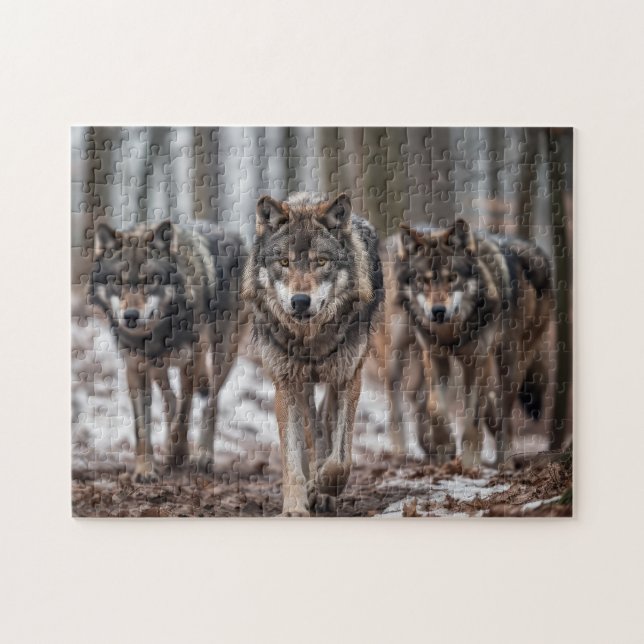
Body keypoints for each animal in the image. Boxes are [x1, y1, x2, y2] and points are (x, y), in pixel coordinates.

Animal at [91, 220, 246, 482]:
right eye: (117, 281)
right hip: (159, 368)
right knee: (169, 398)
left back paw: (203, 455)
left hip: (223, 354)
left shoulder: (190, 363)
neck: (158, 332)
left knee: (211, 402)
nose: (130, 316)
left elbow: (184, 414)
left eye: (150, 280)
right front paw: (145, 469)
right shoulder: (135, 369)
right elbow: (142, 428)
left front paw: (178, 453)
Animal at [242, 193, 384, 516]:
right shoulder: (286, 384)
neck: (311, 341)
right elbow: (293, 456)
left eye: (321, 261)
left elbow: (340, 459)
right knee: (313, 428)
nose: (300, 301)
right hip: (303, 385)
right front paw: (295, 506)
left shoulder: (348, 378)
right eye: (284, 262)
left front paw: (323, 486)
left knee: (327, 422)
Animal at [395, 220, 552, 468]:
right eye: (423, 280)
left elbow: (473, 416)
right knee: (492, 407)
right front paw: (445, 446)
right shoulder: (434, 356)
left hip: (509, 365)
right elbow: (434, 406)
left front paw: (469, 461)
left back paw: (505, 460)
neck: (451, 333)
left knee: (505, 413)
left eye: (452, 278)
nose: (438, 311)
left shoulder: (477, 360)